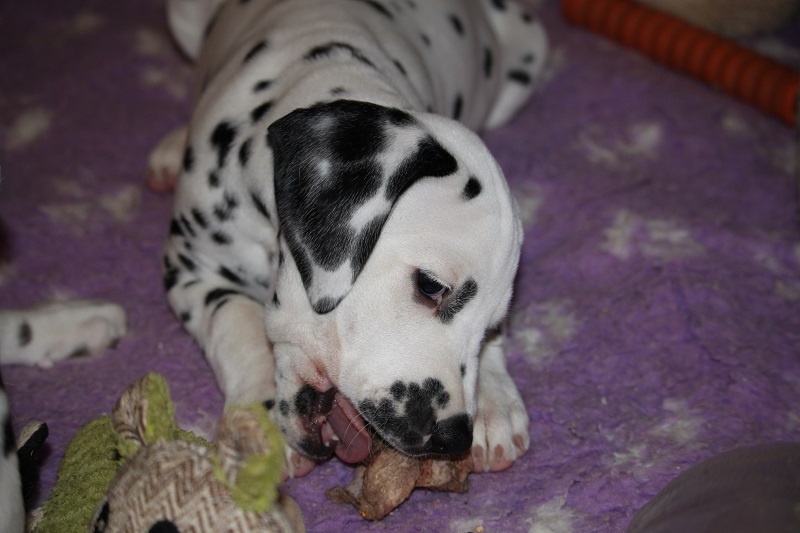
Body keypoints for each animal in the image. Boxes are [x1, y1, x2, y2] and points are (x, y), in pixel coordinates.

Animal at [148, 0, 548, 476]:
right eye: (431, 286)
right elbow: (236, 322)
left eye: (491, 328)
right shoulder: (191, 269)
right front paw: (256, 417)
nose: (454, 436)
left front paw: (493, 399)